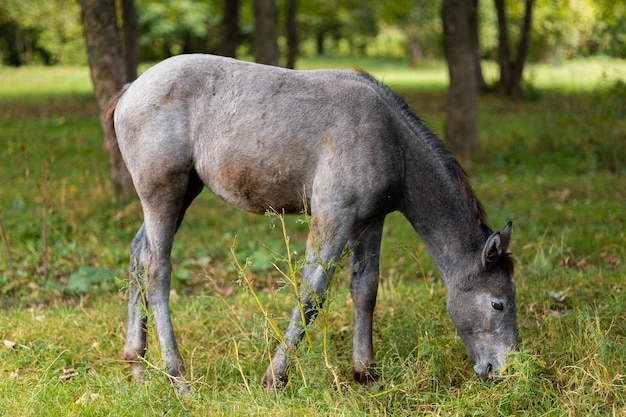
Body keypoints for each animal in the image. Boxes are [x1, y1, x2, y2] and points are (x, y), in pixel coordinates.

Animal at [106, 53, 516, 388]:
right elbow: (311, 295)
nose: (503, 369)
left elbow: (365, 289)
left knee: (138, 255)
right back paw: (176, 376)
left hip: (183, 193)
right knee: (157, 270)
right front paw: (275, 377)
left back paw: (137, 364)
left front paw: (365, 373)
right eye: (498, 303)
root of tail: (130, 89)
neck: (389, 139)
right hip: (163, 192)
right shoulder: (333, 218)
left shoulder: (370, 222)